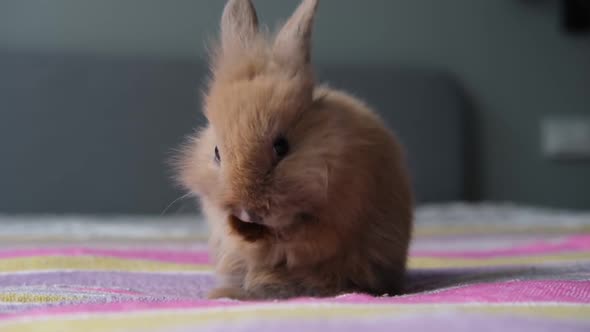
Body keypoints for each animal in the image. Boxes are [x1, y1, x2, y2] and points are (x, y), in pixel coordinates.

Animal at [176, 0, 414, 300]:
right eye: (217, 153)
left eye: (282, 146)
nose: (248, 211)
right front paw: (244, 231)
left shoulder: (334, 222)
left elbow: (301, 241)